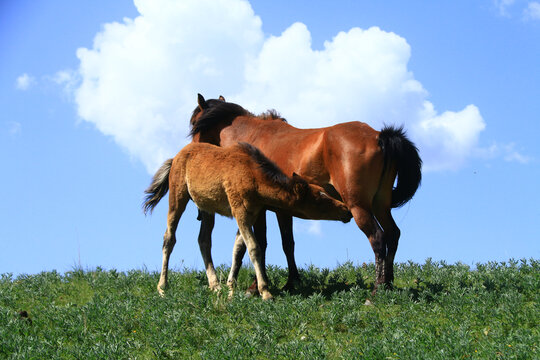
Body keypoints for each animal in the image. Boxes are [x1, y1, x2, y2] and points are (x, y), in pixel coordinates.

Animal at [144, 142, 354, 300]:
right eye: (319, 198)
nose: (346, 210)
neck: (256, 182)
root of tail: (174, 158)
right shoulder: (240, 211)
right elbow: (254, 247)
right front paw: (265, 292)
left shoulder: (251, 213)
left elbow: (238, 249)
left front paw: (230, 289)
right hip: (178, 195)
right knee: (169, 237)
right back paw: (162, 287)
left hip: (206, 207)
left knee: (203, 240)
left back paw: (215, 285)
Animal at [190, 94, 422, 292]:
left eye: (194, 124)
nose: (190, 150)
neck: (251, 137)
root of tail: (379, 136)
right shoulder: (282, 210)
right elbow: (287, 244)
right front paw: (291, 282)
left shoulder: (260, 208)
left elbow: (260, 243)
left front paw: (256, 287)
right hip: (380, 204)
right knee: (393, 234)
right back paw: (388, 283)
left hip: (359, 207)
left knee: (378, 238)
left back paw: (377, 289)